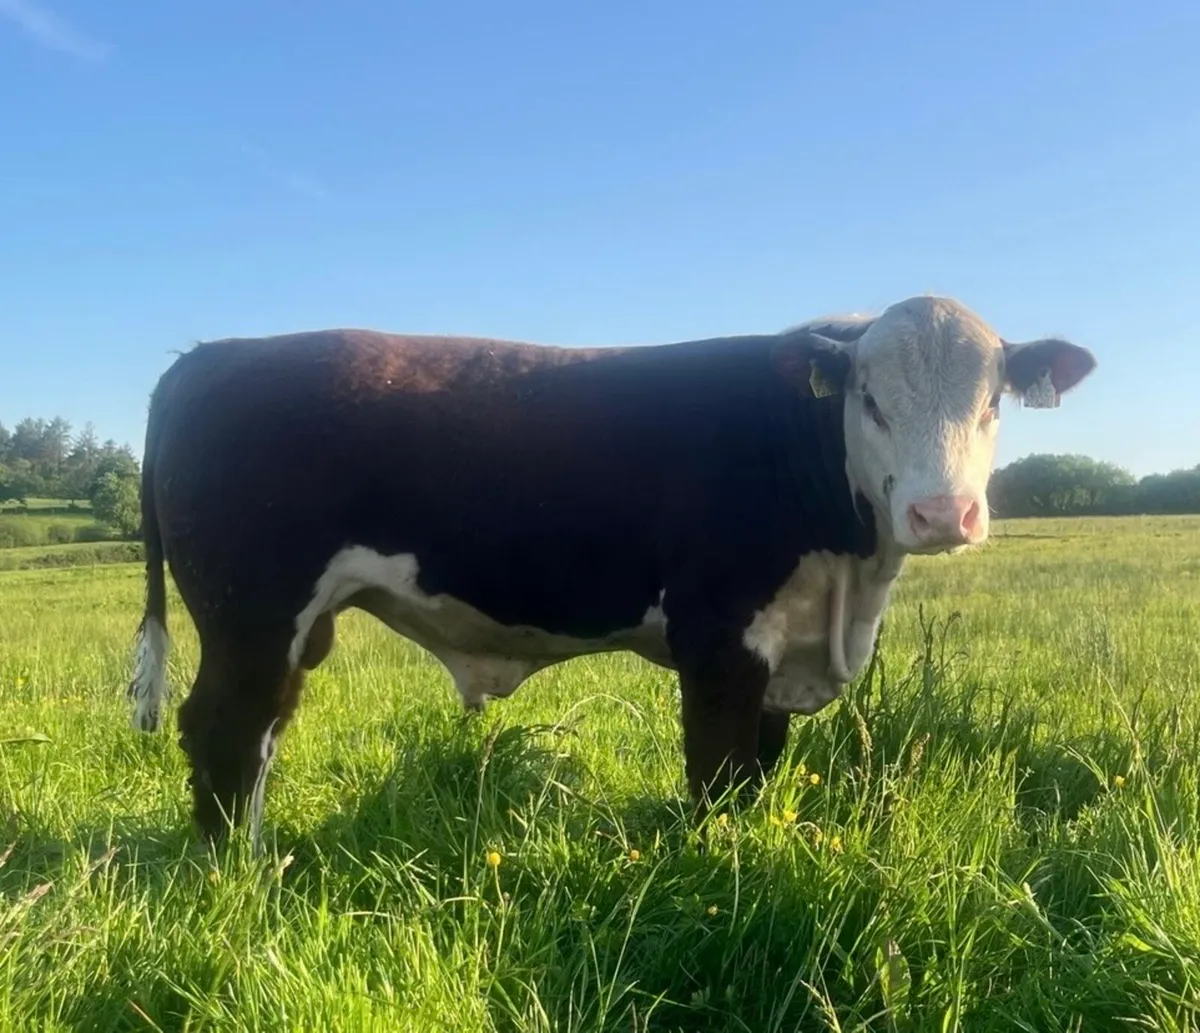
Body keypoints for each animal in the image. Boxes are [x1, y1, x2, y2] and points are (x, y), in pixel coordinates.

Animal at [126, 295, 1096, 844]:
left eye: (995, 399)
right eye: (869, 398)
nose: (943, 514)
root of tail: (208, 356)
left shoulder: (782, 649)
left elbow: (758, 770)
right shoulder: (718, 636)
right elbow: (718, 774)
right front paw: (719, 868)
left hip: (293, 626)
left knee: (260, 730)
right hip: (251, 611)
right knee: (225, 730)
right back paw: (237, 875)